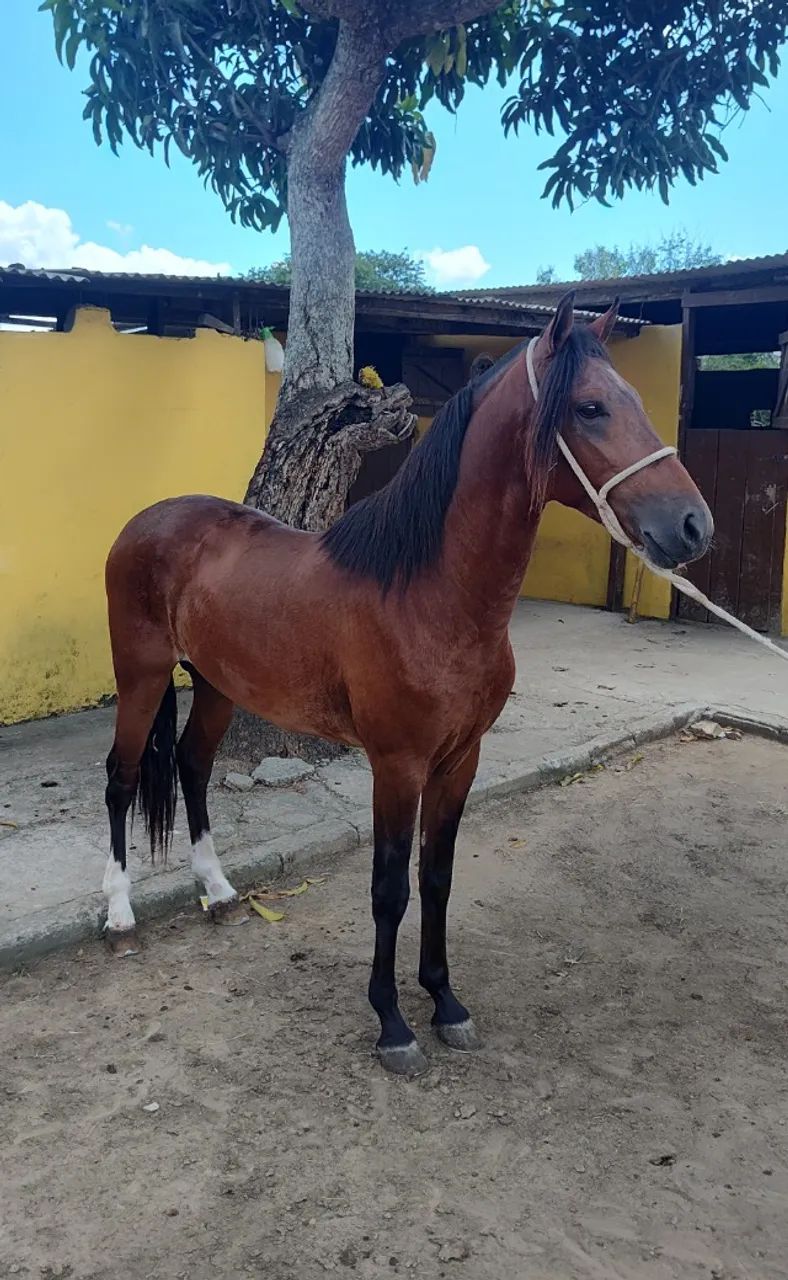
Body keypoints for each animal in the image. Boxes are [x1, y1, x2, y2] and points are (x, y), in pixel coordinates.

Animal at [102, 292, 712, 1075]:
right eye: (590, 407)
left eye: (634, 398)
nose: (693, 526)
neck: (428, 594)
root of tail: (148, 520)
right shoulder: (396, 765)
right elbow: (389, 888)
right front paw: (392, 1022)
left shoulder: (460, 760)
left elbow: (437, 876)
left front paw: (445, 1001)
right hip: (143, 675)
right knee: (121, 778)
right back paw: (119, 913)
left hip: (215, 684)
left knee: (192, 765)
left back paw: (217, 890)